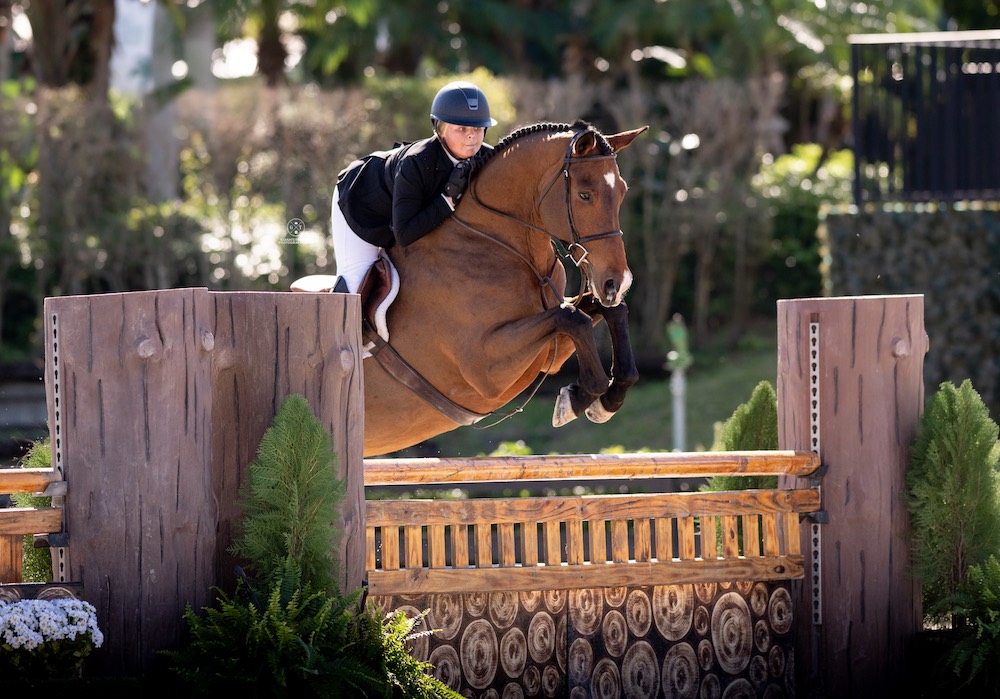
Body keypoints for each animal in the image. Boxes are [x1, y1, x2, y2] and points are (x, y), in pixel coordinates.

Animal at [304, 122, 644, 456]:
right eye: (585, 195)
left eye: (622, 192)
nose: (617, 283)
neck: (502, 247)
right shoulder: (485, 369)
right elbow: (573, 318)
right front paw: (576, 400)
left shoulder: (552, 348)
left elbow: (605, 312)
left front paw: (606, 400)